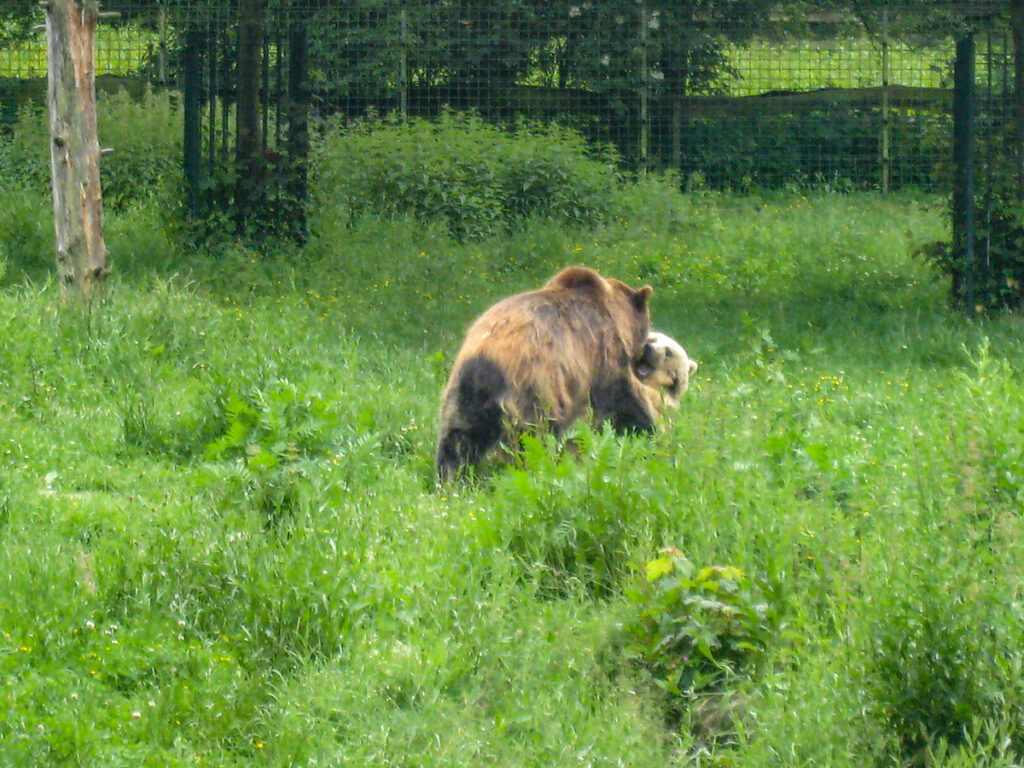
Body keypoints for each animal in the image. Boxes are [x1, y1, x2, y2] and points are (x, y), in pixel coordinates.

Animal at [434, 264, 655, 481]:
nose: (645, 351)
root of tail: (486, 361)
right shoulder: (604, 354)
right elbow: (622, 401)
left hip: (463, 395)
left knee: (457, 440)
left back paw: (452, 478)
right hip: (535, 388)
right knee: (536, 438)